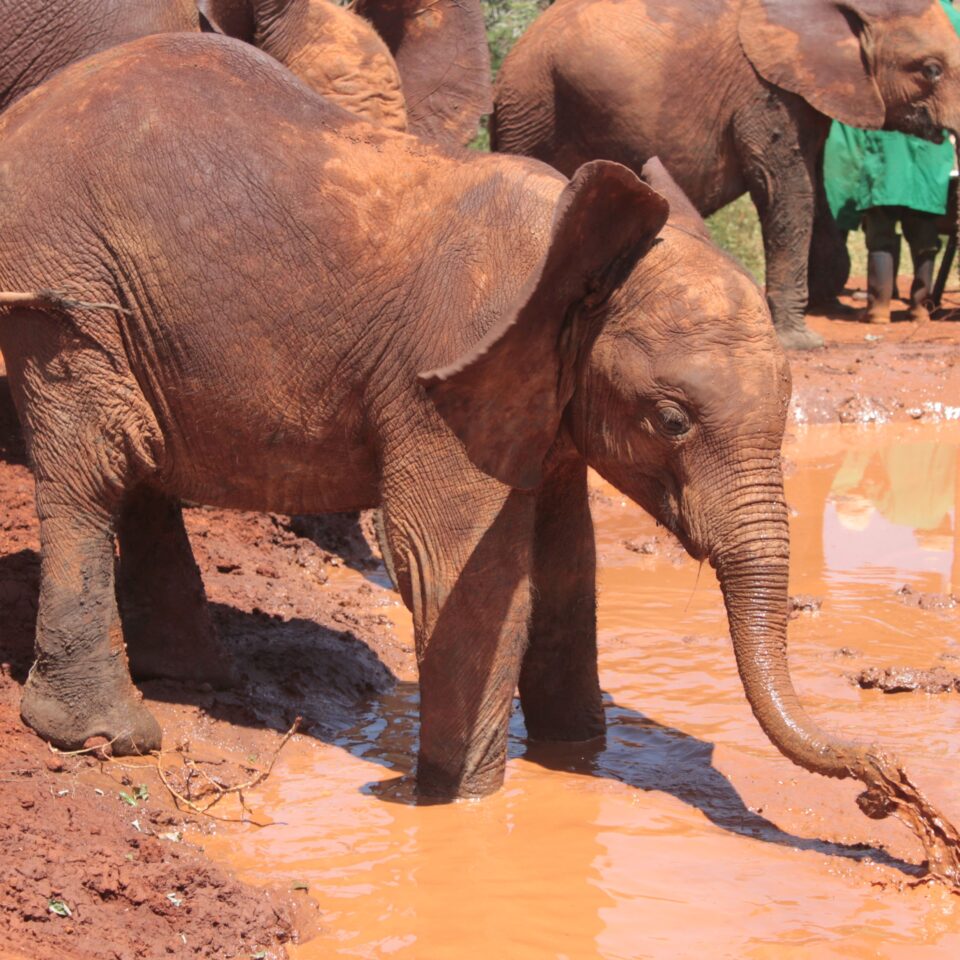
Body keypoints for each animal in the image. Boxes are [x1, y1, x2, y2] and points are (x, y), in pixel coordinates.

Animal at [0, 35, 928, 832]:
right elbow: (461, 575)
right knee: (99, 464)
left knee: (136, 466)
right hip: (62, 278)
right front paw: (462, 807)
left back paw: (197, 676)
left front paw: (577, 756)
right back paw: (109, 734)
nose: (888, 785)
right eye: (670, 420)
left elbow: (568, 569)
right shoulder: (443, 370)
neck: (581, 250)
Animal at [492, 0, 960, 348]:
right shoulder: (764, 90)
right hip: (533, 108)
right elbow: (787, 188)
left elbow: (813, 183)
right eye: (930, 69)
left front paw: (829, 303)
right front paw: (803, 341)